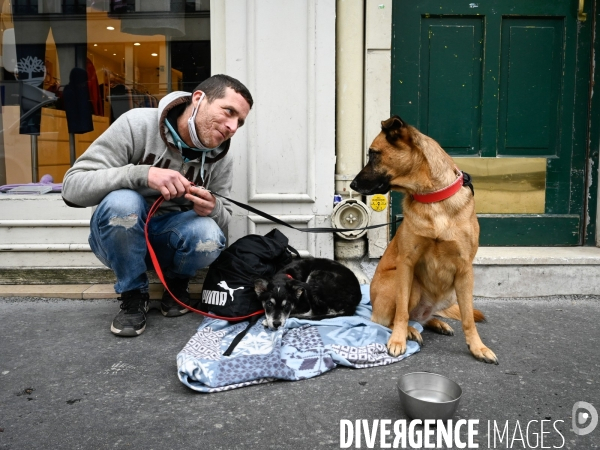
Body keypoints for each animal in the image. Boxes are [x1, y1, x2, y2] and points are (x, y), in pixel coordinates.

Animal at [352, 114, 496, 364]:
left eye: (374, 154)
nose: (351, 185)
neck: (433, 199)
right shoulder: (406, 264)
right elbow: (400, 313)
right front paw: (398, 340)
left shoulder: (465, 271)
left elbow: (468, 316)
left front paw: (478, 347)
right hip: (409, 285)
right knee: (396, 319)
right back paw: (410, 331)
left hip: (452, 292)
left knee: (423, 318)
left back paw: (437, 323)